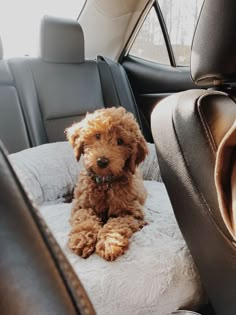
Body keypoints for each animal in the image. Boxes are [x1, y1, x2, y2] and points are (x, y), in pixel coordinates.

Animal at [65, 107, 148, 262]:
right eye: (97, 135)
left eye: (120, 141)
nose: (102, 161)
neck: (104, 183)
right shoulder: (82, 205)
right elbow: (84, 219)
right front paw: (82, 239)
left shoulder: (131, 211)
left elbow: (116, 224)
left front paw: (110, 243)